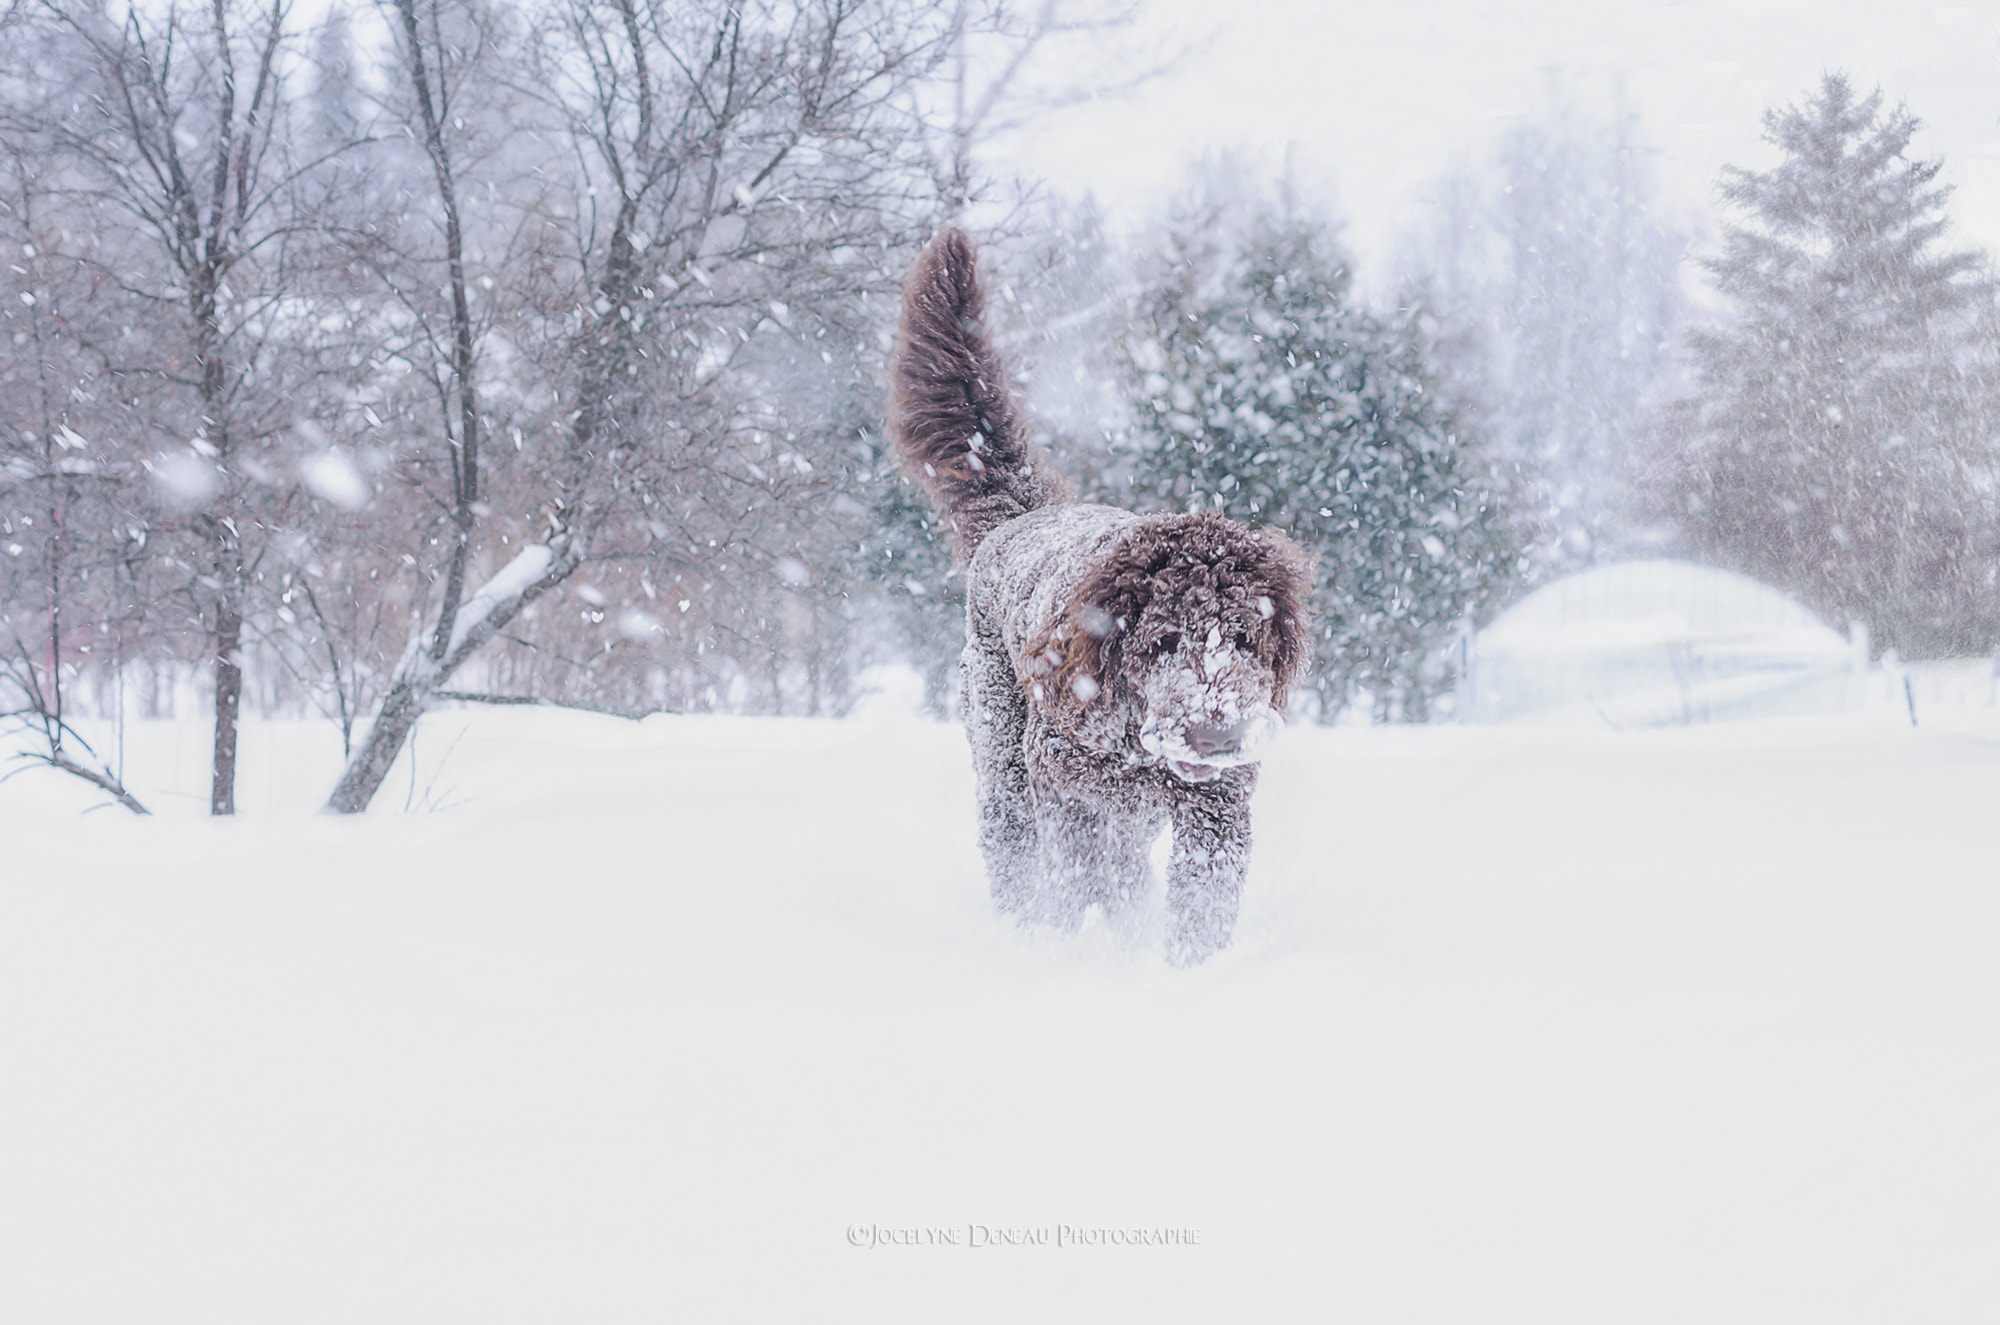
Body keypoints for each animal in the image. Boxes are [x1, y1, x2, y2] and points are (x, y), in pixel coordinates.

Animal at [892, 228, 1312, 964]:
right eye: (1162, 641)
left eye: (1244, 637)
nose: (1215, 733)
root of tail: (1020, 515)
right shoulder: (1064, 784)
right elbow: (1077, 873)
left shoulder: (1216, 803)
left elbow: (1199, 901)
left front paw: (1186, 969)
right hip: (1002, 750)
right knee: (1011, 841)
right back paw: (1022, 925)